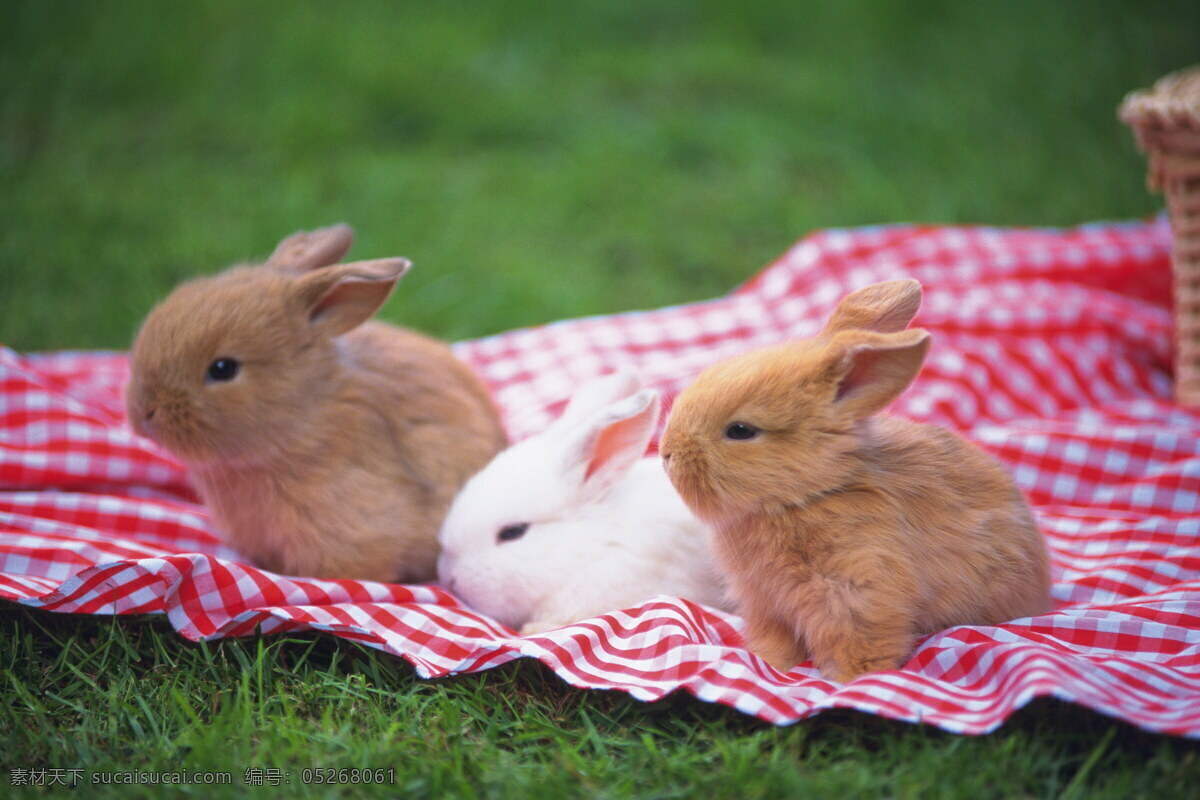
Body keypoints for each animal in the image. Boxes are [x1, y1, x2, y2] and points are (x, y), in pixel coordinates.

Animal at [657, 278, 1051, 681]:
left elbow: (861, 641)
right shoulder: (767, 606)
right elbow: (776, 642)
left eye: (741, 431)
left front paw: (851, 679)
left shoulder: (859, 592)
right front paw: (772, 664)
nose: (666, 453)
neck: (812, 494)